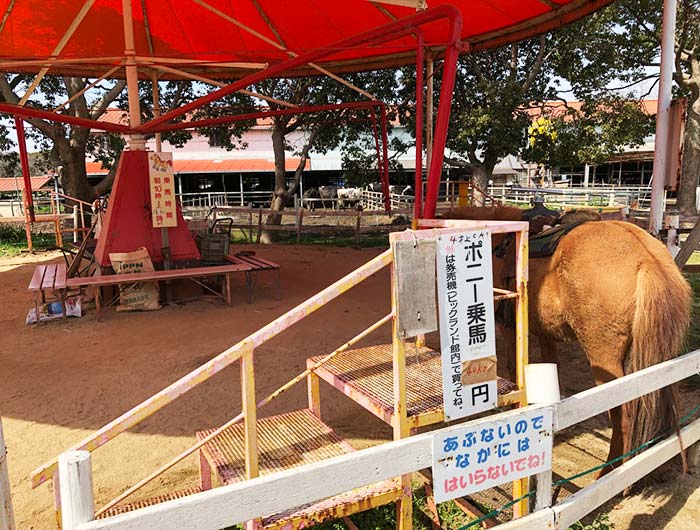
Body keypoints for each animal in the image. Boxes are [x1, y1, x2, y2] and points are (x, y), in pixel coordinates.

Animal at [446, 206, 692, 470]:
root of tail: (647, 259)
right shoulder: (544, 333)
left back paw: (610, 470)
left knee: (623, 416)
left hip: (604, 359)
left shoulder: (507, 326)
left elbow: (513, 368)